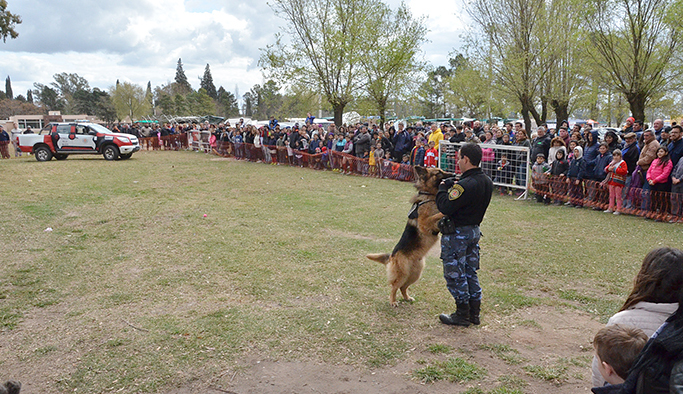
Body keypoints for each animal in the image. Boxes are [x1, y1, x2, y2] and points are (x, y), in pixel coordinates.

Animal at [366, 165, 452, 306]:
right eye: (438, 173)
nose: (454, 175)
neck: (429, 196)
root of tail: (391, 256)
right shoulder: (424, 223)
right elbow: (438, 214)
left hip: (415, 274)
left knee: (403, 287)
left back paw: (407, 298)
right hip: (403, 274)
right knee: (394, 287)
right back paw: (393, 301)